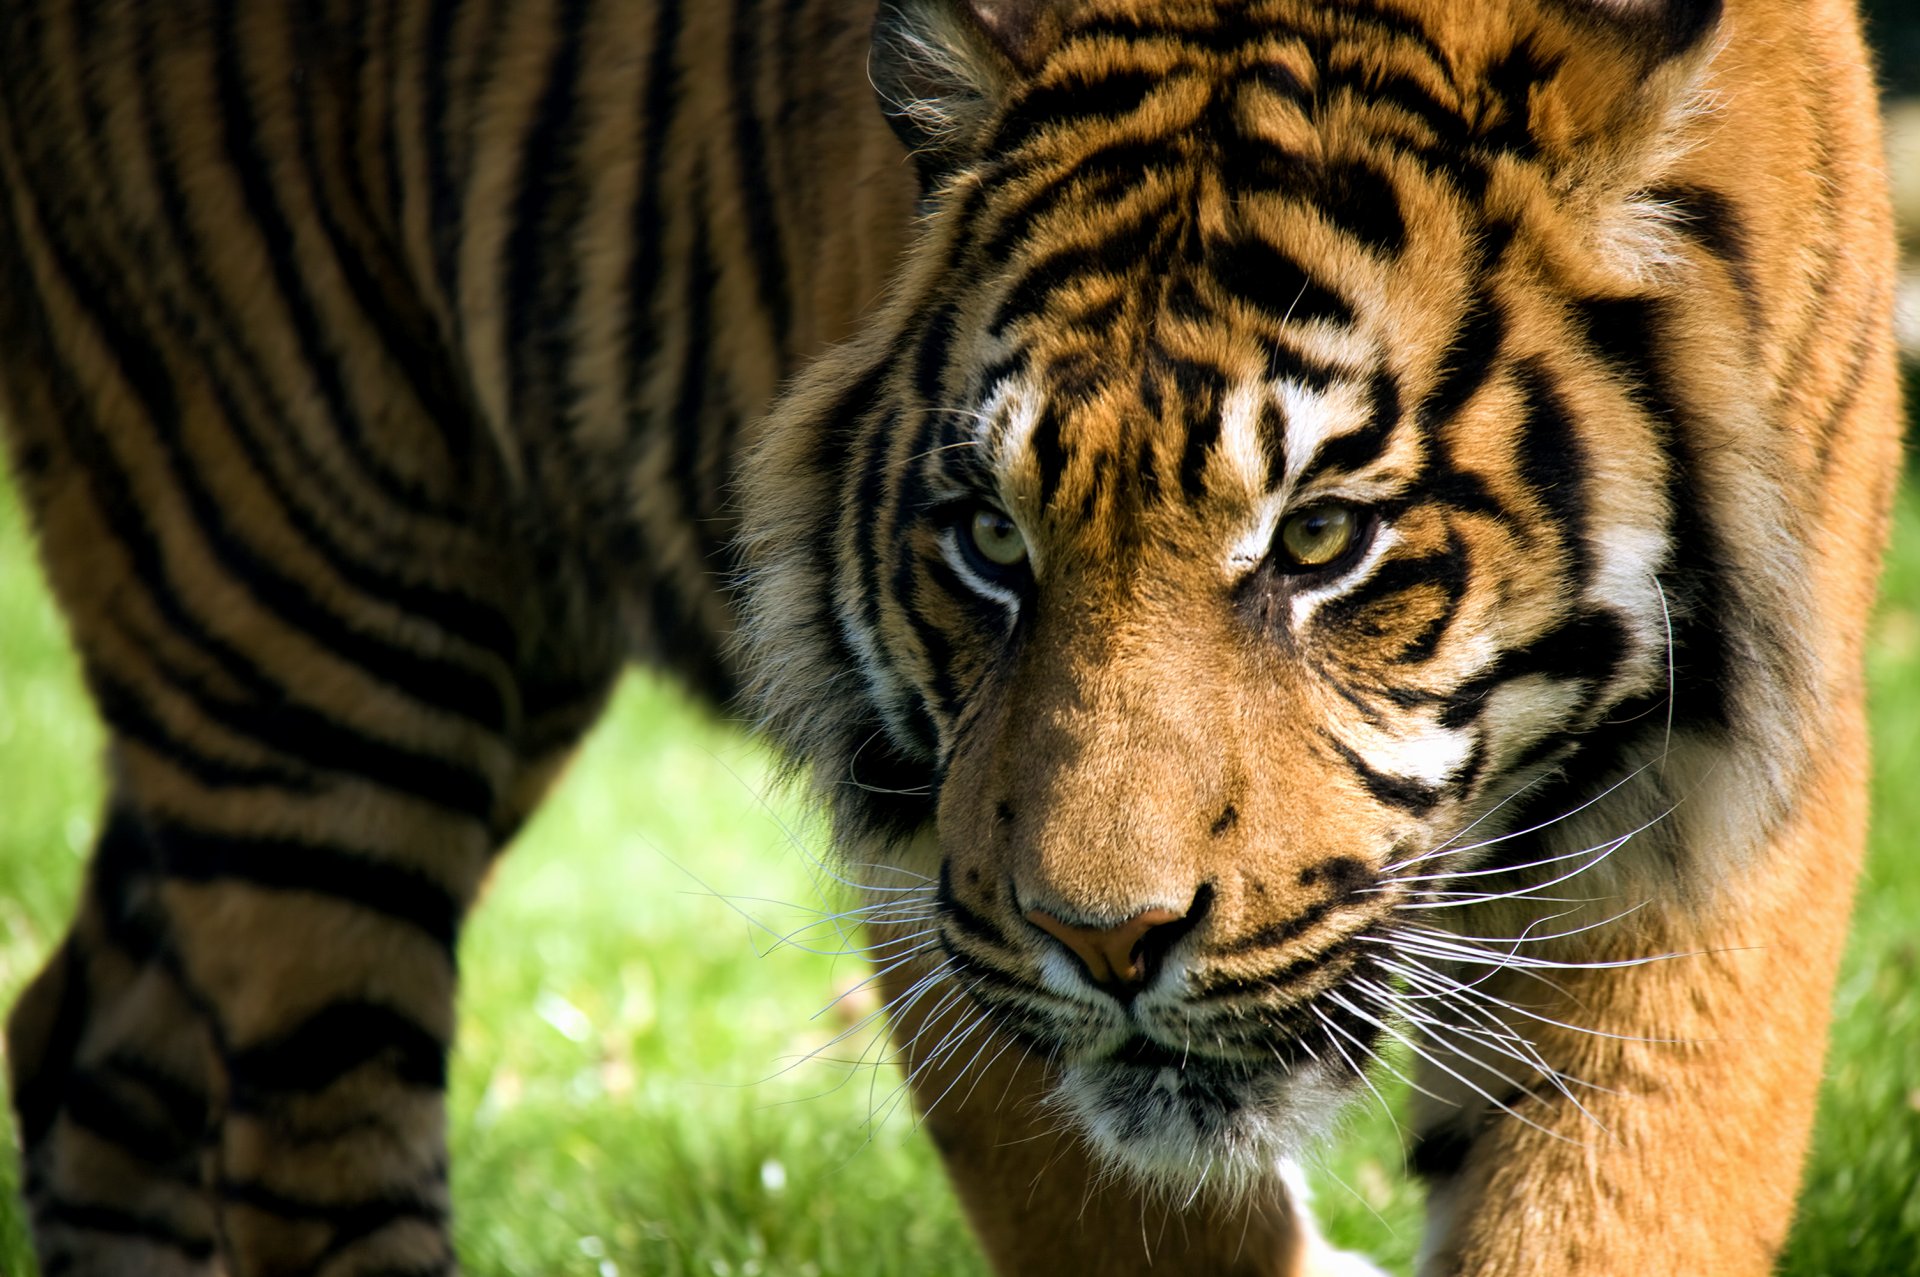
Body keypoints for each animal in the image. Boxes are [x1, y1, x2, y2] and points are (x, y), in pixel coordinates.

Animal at [0, 0, 1901, 1272]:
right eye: (994, 539)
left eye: (1323, 538)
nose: (1105, 941)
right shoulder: (940, 879)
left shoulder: (1713, 826)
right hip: (308, 635)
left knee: (89, 1051)